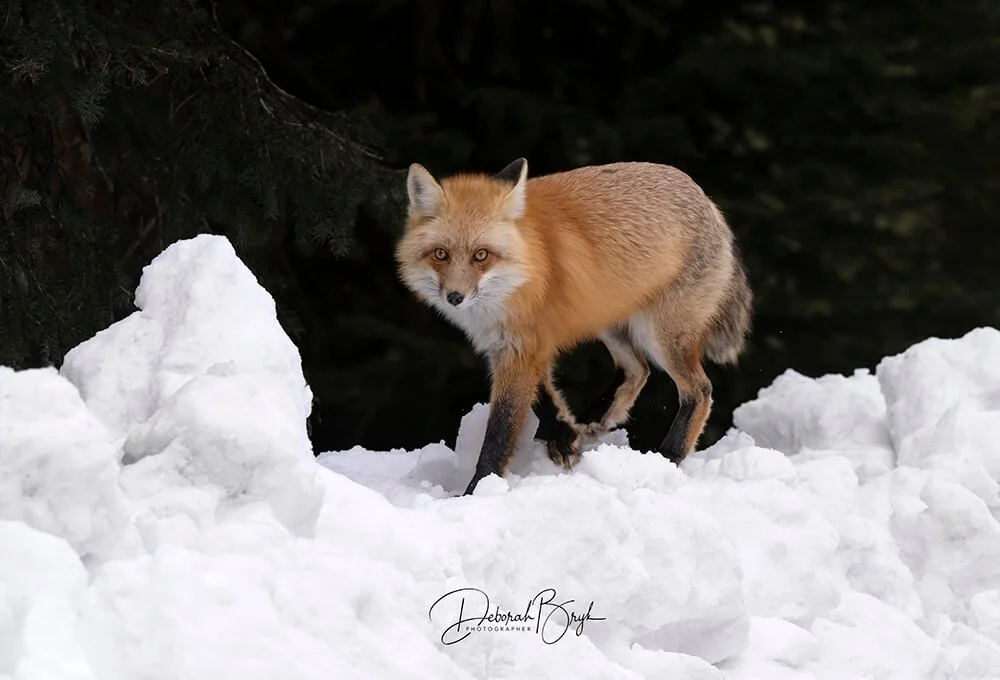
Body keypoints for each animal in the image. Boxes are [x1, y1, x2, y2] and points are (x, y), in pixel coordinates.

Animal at [395, 157, 752, 496]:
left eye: (481, 255)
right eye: (441, 254)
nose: (455, 297)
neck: (523, 272)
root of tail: (706, 200)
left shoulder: (522, 348)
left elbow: (501, 429)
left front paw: (476, 489)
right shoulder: (518, 346)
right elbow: (545, 397)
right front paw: (565, 439)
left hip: (662, 335)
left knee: (699, 391)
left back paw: (669, 456)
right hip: (610, 319)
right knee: (638, 370)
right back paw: (596, 419)